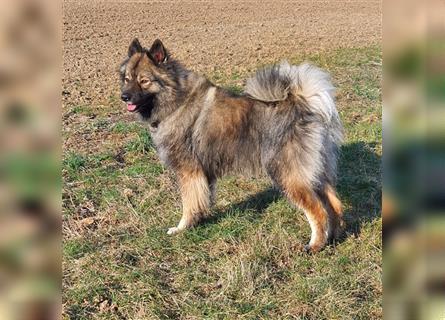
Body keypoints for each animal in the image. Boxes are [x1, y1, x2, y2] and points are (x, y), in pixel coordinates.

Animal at [119, 38, 344, 252]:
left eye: (144, 81)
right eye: (127, 79)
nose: (124, 96)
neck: (177, 100)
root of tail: (303, 106)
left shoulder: (189, 171)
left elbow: (189, 203)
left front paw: (182, 227)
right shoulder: (203, 173)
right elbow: (202, 199)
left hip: (287, 173)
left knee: (318, 211)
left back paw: (315, 245)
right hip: (315, 171)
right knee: (334, 205)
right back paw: (332, 237)